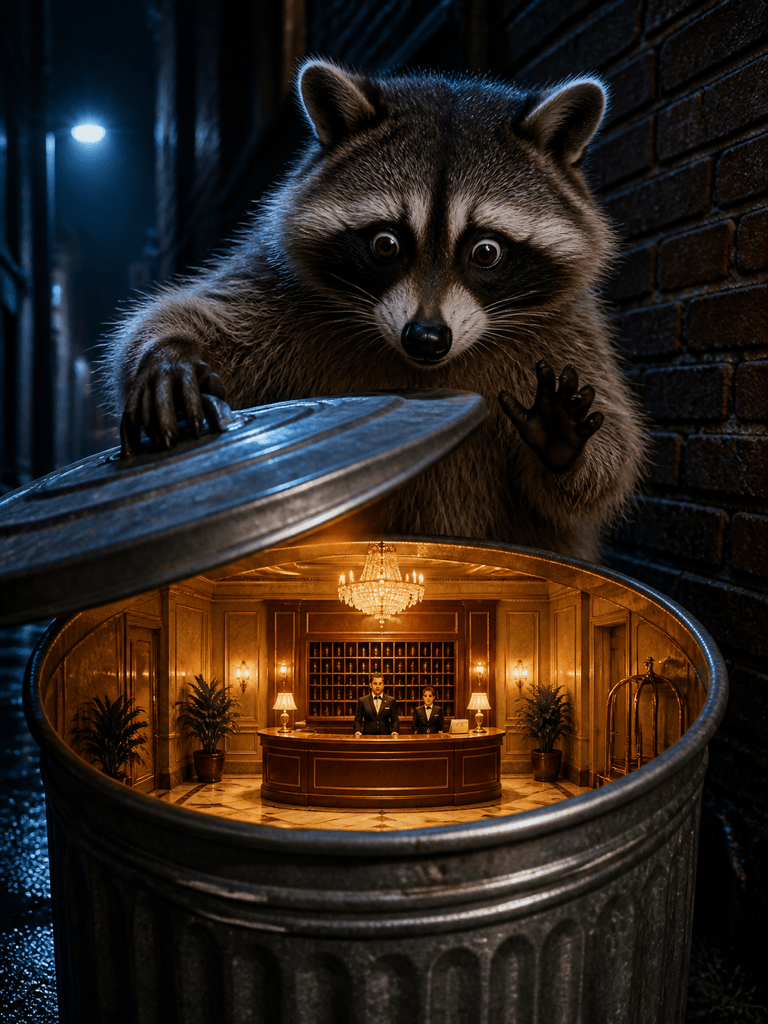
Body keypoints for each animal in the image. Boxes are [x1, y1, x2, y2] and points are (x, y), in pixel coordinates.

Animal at [104, 59, 647, 561]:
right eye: (386, 244)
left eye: (486, 252)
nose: (425, 338)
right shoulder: (282, 285)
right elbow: (211, 315)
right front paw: (170, 352)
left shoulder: (571, 330)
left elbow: (597, 474)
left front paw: (563, 445)